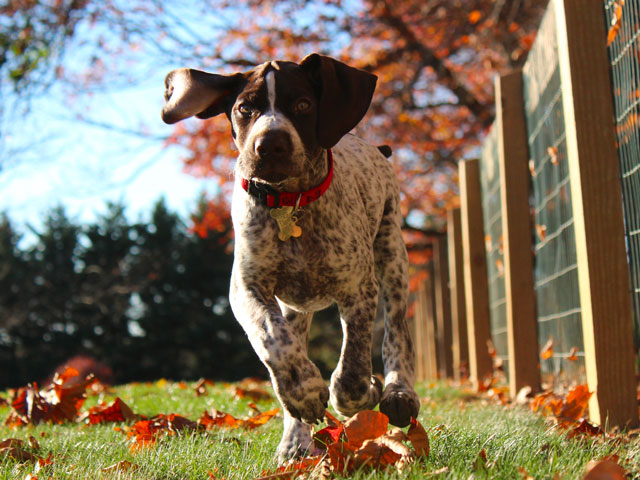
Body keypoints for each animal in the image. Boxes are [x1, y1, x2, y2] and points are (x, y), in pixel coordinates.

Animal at [160, 54, 420, 460]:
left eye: (302, 105)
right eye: (244, 108)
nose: (270, 145)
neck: (289, 203)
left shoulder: (358, 288)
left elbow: (352, 368)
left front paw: (364, 392)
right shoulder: (247, 288)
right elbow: (272, 338)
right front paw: (304, 393)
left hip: (392, 254)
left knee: (396, 332)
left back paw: (398, 393)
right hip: (297, 307)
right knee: (290, 340)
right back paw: (295, 441)